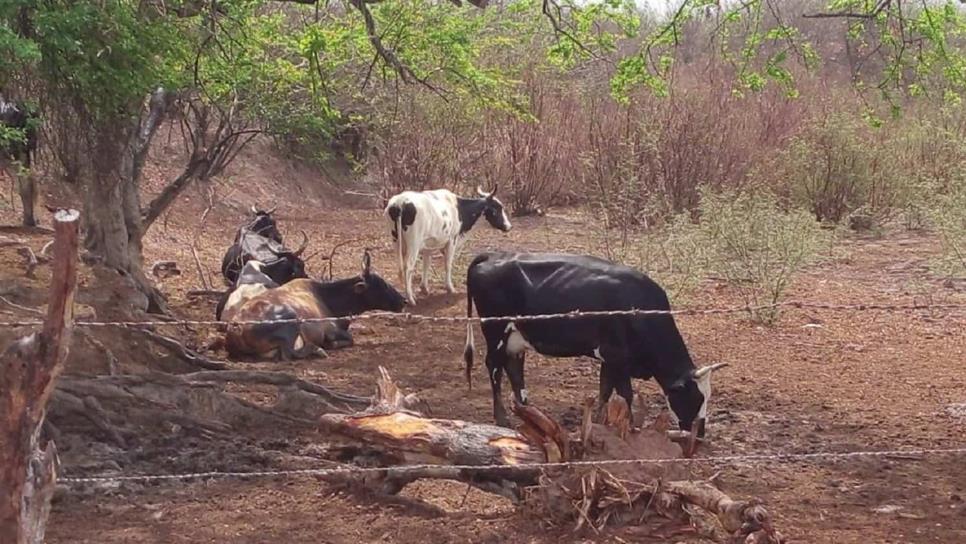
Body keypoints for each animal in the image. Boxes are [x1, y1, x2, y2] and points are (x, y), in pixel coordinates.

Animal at [225, 251, 406, 362]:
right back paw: (317, 349)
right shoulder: (330, 330)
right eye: (382, 284)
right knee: (289, 354)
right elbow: (349, 339)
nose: (403, 301)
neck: (330, 300)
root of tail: (236, 329)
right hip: (292, 320)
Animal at [386, 187, 516, 306]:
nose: (509, 226)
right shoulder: (452, 241)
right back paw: (411, 298)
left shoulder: (428, 245)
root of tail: (399, 203)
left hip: (396, 241)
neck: (459, 209)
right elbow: (448, 264)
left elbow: (426, 265)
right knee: (408, 267)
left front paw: (424, 288)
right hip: (414, 244)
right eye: (498, 208)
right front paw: (450, 288)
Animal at [466, 252, 728, 438]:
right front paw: (629, 427)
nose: (700, 433)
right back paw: (503, 418)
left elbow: (605, 390)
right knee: (494, 368)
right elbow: (625, 394)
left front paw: (601, 423)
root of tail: (492, 255)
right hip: (495, 331)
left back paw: (527, 412)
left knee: (514, 370)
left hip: (516, 338)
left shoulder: (610, 358)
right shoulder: (617, 356)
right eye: (695, 397)